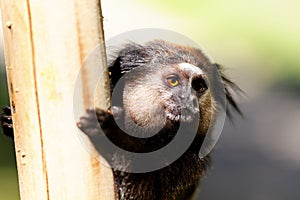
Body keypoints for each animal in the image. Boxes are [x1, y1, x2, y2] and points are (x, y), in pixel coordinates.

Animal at [0, 39, 241, 199]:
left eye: (198, 87)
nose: (188, 99)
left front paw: (112, 134)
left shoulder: (190, 165)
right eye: (173, 81)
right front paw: (11, 121)